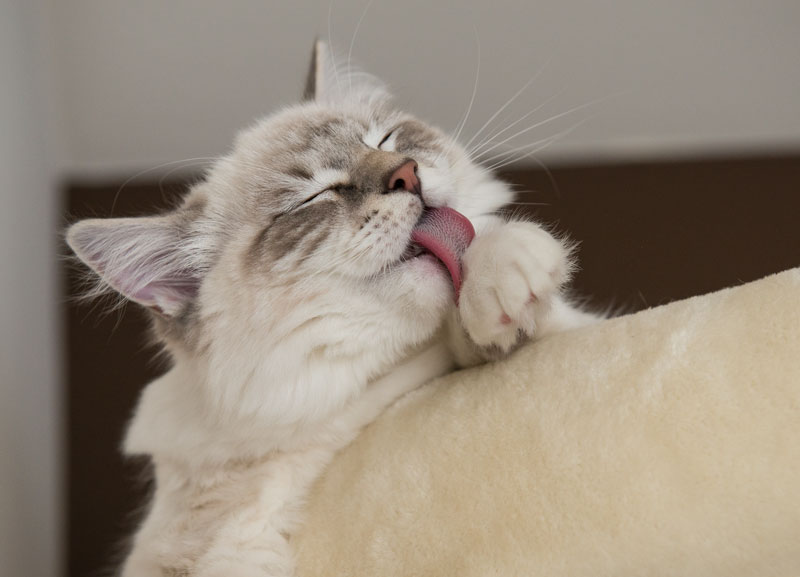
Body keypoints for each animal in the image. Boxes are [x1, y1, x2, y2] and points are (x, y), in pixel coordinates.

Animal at [65, 40, 596, 576]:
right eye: (316, 196)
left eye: (385, 140)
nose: (406, 173)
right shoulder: (190, 551)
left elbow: (503, 319)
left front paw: (508, 270)